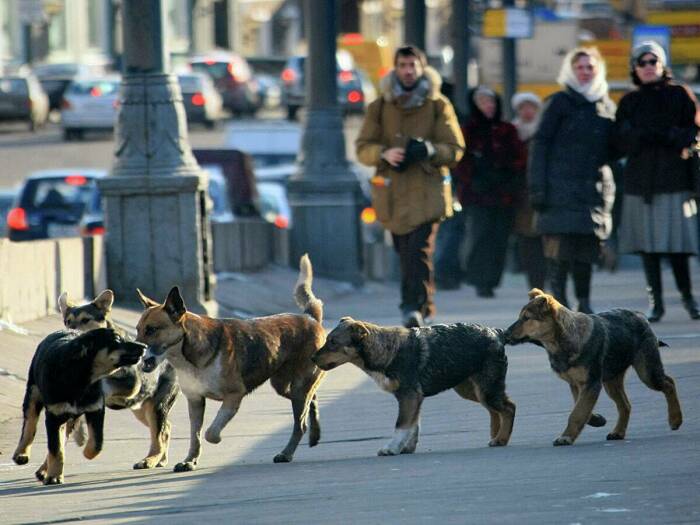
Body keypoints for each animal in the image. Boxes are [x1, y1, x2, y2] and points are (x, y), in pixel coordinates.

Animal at [11, 328, 144, 484]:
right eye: (117, 339)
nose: (144, 346)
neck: (82, 379)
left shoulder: (96, 409)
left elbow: (96, 443)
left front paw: (86, 453)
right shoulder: (54, 416)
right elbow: (56, 449)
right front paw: (54, 477)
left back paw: (43, 469)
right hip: (33, 392)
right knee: (30, 424)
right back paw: (21, 454)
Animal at [58, 288, 179, 468]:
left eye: (86, 320)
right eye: (67, 321)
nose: (71, 332)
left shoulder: (132, 383)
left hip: (156, 405)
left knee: (159, 432)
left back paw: (150, 460)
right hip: (142, 409)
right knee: (165, 428)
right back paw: (159, 458)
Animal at [137, 254, 328, 470]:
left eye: (152, 329)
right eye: (137, 329)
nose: (135, 350)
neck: (188, 354)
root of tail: (310, 317)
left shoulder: (234, 396)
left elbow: (210, 433)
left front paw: (215, 440)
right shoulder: (195, 401)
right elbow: (195, 436)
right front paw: (189, 461)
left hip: (298, 386)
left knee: (300, 423)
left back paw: (286, 453)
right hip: (284, 385)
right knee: (311, 399)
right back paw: (314, 433)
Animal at [312, 316, 516, 454]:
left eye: (333, 342)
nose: (312, 358)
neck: (387, 350)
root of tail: (497, 333)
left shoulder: (409, 395)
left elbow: (402, 425)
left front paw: (391, 448)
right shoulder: (413, 398)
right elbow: (413, 425)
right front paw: (407, 448)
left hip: (486, 387)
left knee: (509, 408)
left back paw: (501, 439)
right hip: (470, 389)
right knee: (494, 410)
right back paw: (495, 436)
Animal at [506, 288, 680, 444]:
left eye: (526, 318)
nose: (505, 334)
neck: (563, 339)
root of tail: (641, 316)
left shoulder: (591, 383)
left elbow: (577, 412)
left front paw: (566, 437)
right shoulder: (577, 384)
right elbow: (581, 408)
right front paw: (597, 419)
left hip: (647, 372)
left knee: (669, 383)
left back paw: (675, 419)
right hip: (611, 381)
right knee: (625, 405)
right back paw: (618, 432)